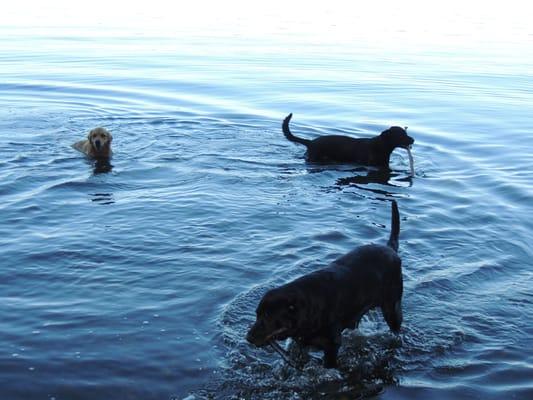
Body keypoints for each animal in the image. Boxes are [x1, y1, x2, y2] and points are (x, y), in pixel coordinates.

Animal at [247, 202, 402, 370]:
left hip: (392, 307)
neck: (307, 308)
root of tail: (391, 249)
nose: (248, 337)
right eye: (257, 314)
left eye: (268, 316)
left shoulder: (332, 345)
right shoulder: (302, 341)